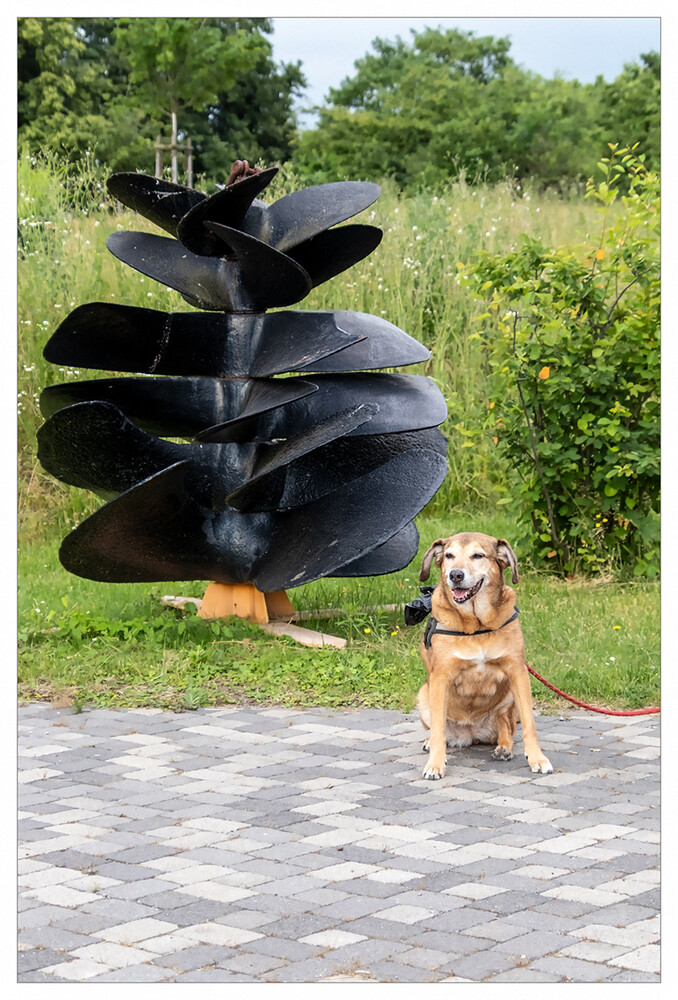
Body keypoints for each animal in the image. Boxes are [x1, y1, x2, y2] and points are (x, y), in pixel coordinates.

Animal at [418, 532, 556, 780]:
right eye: (449, 555)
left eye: (478, 555)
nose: (455, 575)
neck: (476, 627)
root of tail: (470, 733)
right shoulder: (441, 678)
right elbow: (438, 732)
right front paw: (435, 764)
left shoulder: (518, 672)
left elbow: (529, 725)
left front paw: (538, 759)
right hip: (424, 695)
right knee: (437, 729)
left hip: (508, 700)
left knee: (506, 728)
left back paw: (503, 748)